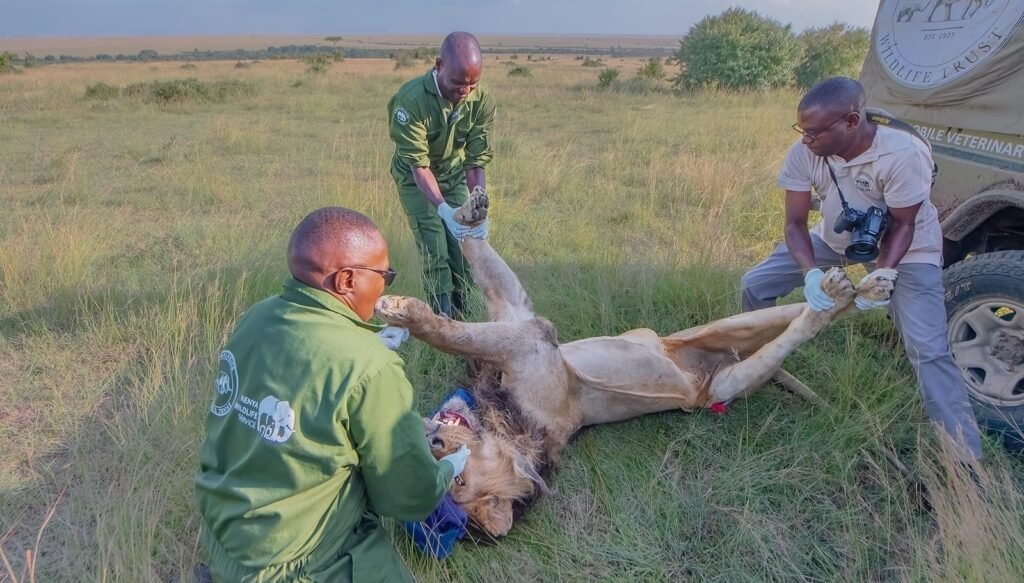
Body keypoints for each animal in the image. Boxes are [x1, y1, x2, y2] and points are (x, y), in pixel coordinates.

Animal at [378, 190, 897, 536]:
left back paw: (858, 290)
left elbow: (462, 305)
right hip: (725, 383)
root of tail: (710, 361)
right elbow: (457, 326)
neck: (507, 420)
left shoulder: (523, 326)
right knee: (800, 327)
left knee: (803, 312)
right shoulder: (524, 335)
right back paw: (848, 293)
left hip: (721, 328)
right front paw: (404, 309)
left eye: (458, 475)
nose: (433, 438)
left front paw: (457, 229)